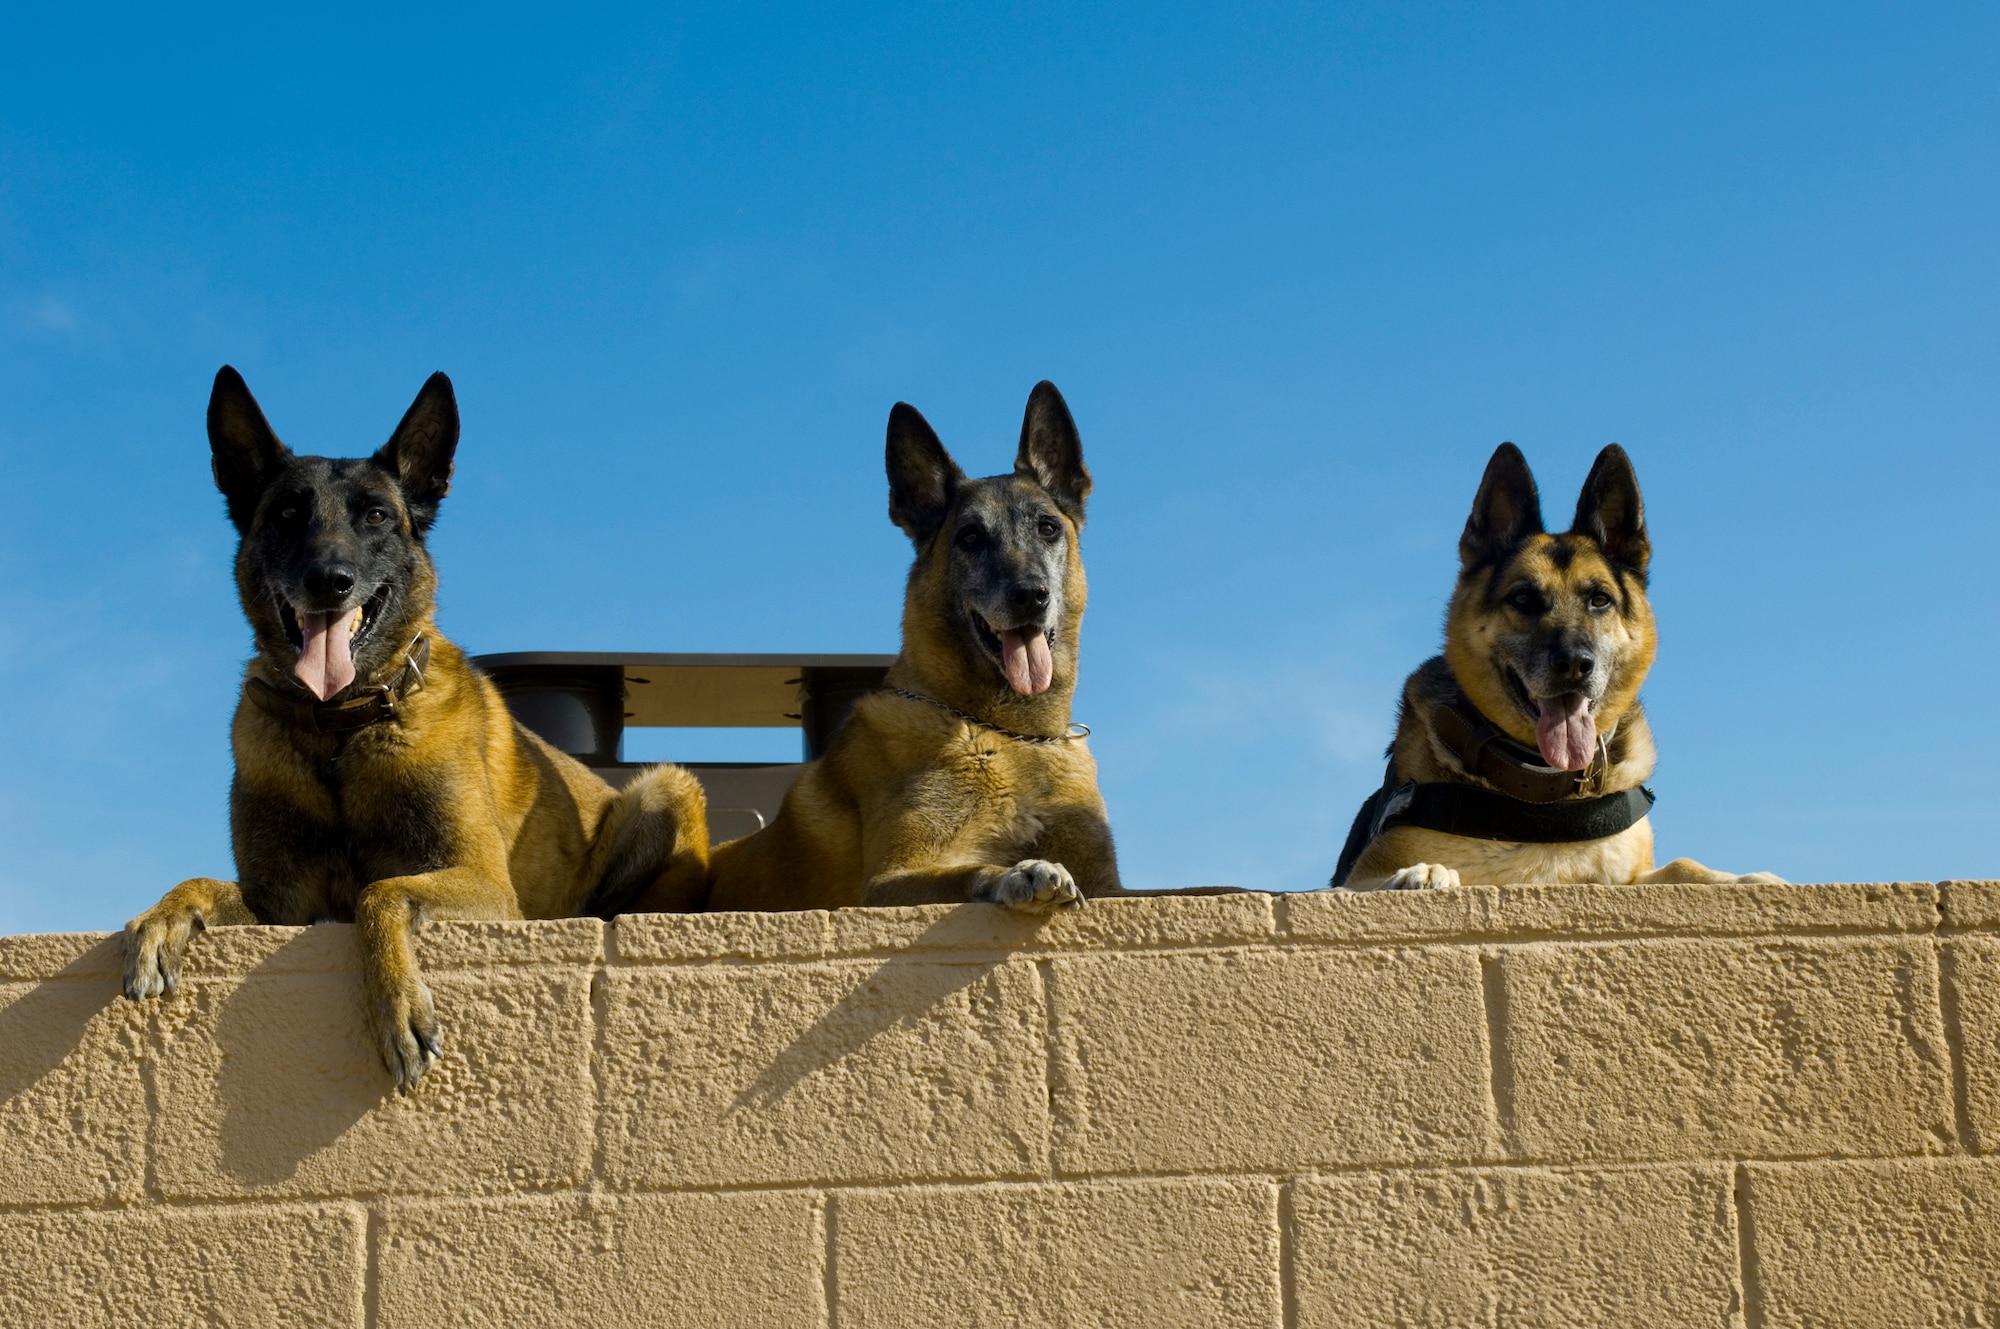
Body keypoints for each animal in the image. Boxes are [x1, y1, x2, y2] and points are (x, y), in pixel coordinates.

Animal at [121, 366, 708, 1088]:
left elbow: (380, 890)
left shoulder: (483, 883)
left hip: (666, 789)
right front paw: (160, 917)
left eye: (376, 515)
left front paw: (397, 1005)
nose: (330, 580)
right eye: (287, 514)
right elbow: (201, 881)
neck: (340, 728)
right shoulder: (277, 904)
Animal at [684, 378, 1128, 908]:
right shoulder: (889, 880)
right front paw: (1021, 871)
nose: (1030, 596)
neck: (1009, 735)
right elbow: (968, 871)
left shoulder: (1114, 887)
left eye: (1048, 528)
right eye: (971, 537)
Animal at [1336, 444, 1792, 892]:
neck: (1542, 788)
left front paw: (1741, 878)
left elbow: (1684, 865)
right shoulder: (1348, 884)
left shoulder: (1632, 877)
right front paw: (1423, 872)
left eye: (1600, 600)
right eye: (1523, 599)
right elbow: (1386, 877)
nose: (1574, 664)